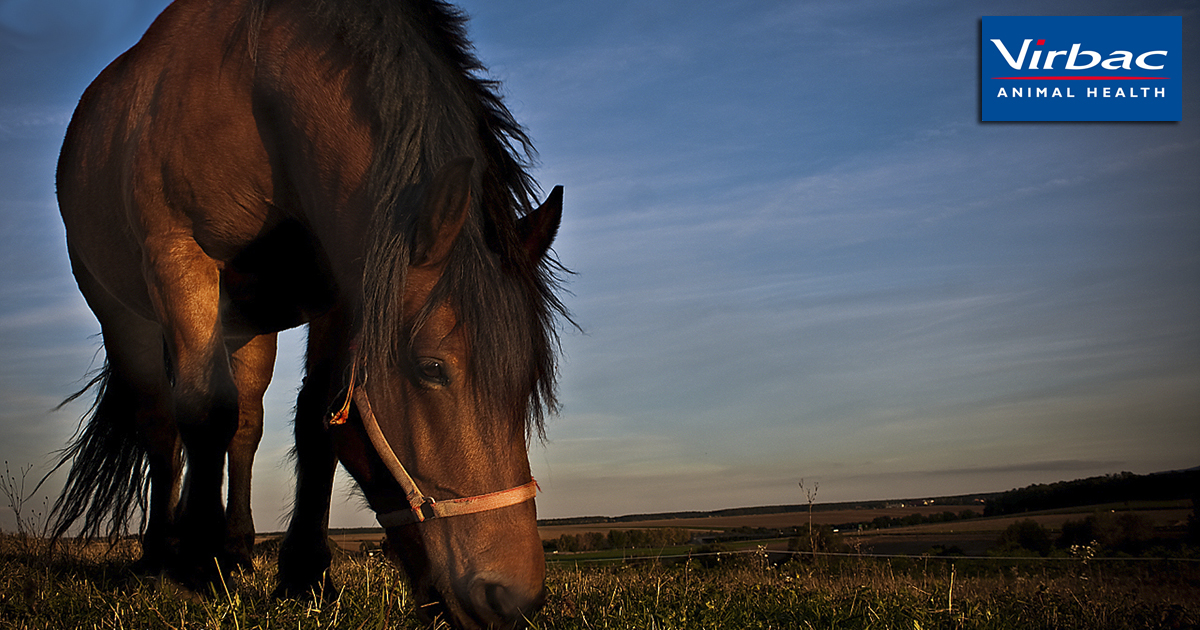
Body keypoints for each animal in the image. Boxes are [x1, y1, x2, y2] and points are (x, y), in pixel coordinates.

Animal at [49, 0, 564, 624]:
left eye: (527, 379)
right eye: (432, 368)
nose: (512, 599)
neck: (253, 90)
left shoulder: (344, 288)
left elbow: (315, 418)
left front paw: (303, 575)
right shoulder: (178, 258)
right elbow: (202, 413)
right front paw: (198, 566)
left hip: (248, 327)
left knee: (245, 425)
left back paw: (237, 549)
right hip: (130, 321)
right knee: (164, 426)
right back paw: (161, 554)